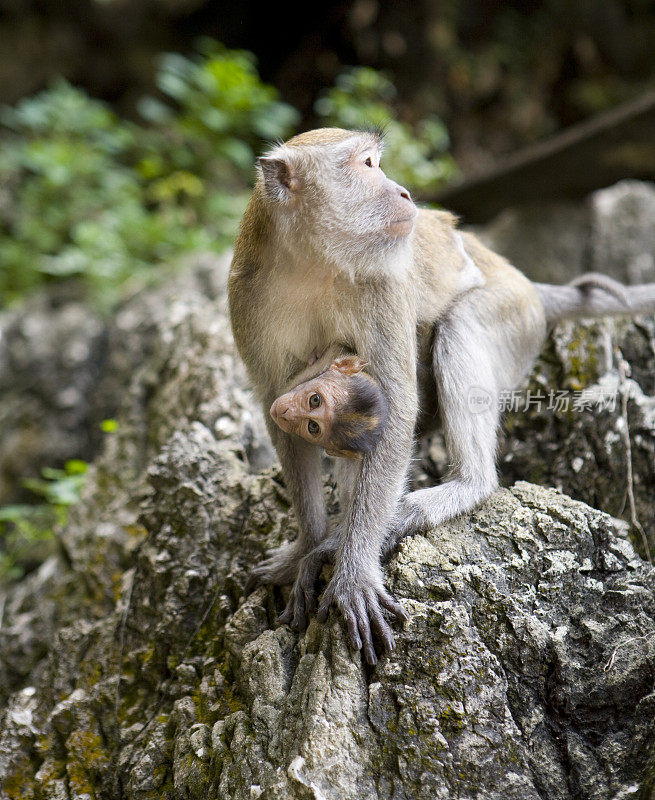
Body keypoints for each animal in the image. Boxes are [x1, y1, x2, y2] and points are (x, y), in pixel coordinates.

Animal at [228, 128, 655, 664]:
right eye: (366, 165)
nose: (405, 193)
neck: (312, 264)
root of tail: (530, 287)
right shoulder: (247, 292)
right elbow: (279, 413)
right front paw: (308, 544)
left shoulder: (382, 285)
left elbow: (395, 411)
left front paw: (352, 569)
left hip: (515, 316)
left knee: (460, 323)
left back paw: (458, 489)